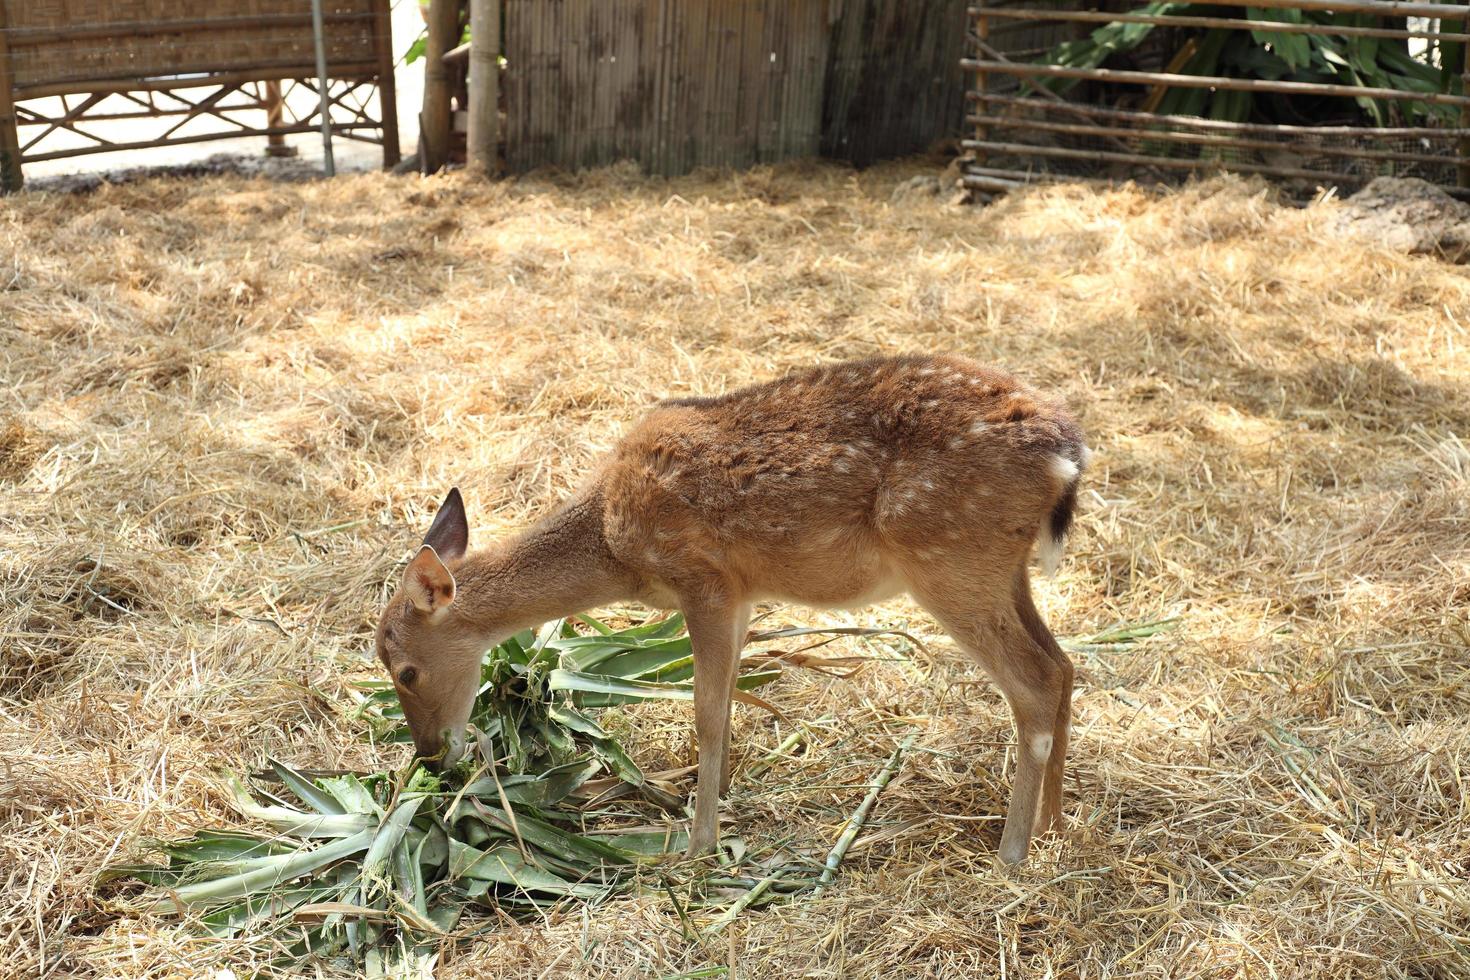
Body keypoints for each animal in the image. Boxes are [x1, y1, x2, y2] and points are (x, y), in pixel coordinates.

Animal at [373, 354, 1087, 863]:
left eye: (403, 670)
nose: (430, 758)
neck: (613, 541)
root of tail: (1067, 456)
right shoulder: (742, 591)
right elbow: (732, 698)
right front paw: (715, 799)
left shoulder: (703, 579)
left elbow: (707, 712)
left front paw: (697, 845)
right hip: (1000, 569)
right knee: (1065, 664)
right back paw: (1054, 827)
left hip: (949, 558)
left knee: (1034, 680)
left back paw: (1012, 852)